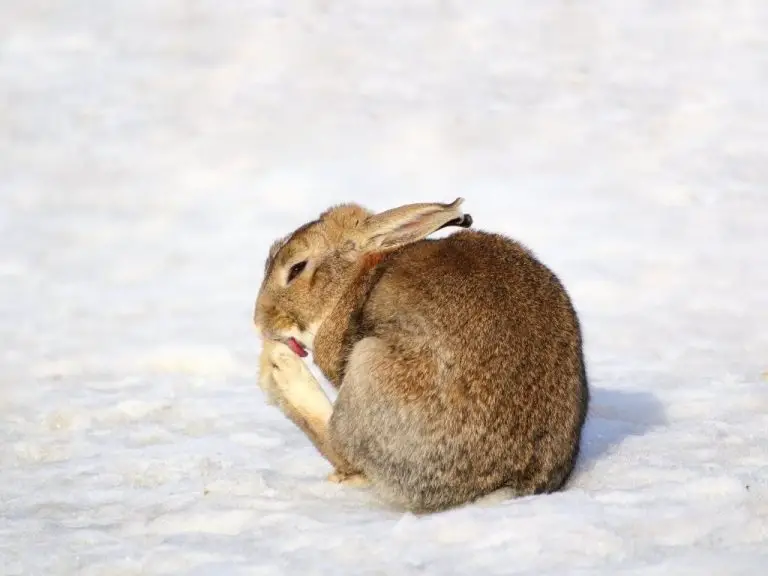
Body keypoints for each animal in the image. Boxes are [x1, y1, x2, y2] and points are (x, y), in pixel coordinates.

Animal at [255, 198, 592, 512]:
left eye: (297, 268)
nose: (259, 321)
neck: (354, 281)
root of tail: (501, 485)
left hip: (368, 368)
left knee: (346, 452)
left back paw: (280, 371)